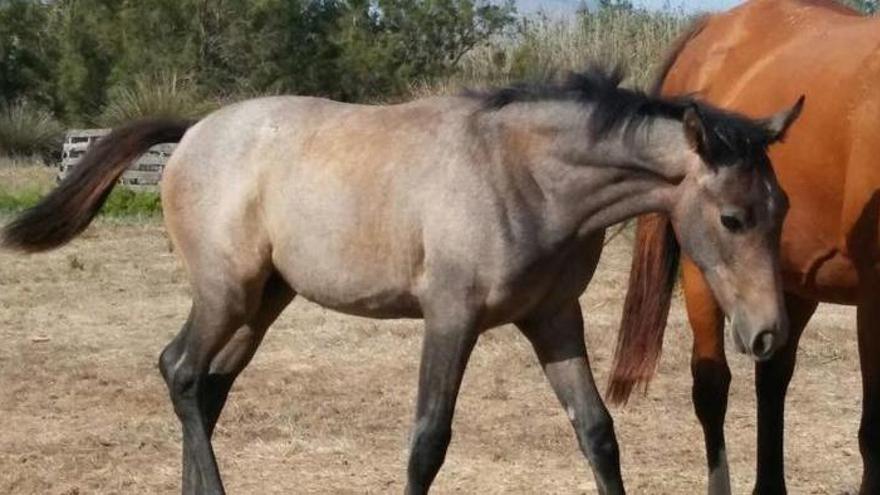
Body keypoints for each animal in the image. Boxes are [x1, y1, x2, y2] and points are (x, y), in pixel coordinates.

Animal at [1, 67, 796, 495]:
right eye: (732, 217)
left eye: (782, 207)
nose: (767, 333)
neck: (523, 174)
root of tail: (194, 131)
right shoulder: (451, 317)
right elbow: (427, 440)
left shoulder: (554, 318)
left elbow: (597, 432)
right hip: (227, 293)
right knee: (183, 371)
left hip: (263, 300)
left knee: (203, 383)